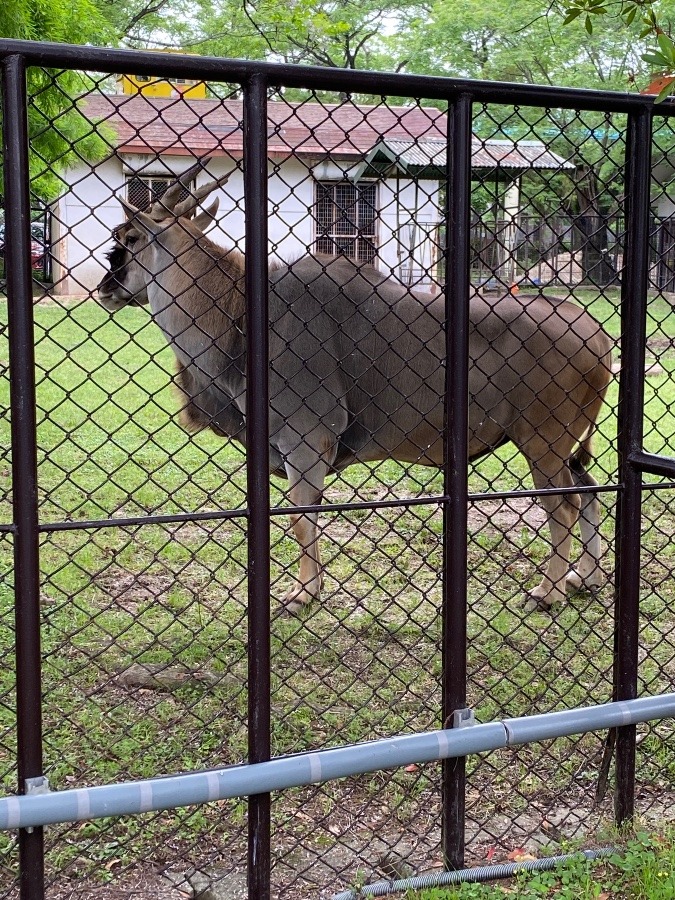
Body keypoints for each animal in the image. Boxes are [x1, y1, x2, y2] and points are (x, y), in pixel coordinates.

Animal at [99, 165, 612, 616]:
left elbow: (302, 518)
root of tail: (597, 333)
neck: (242, 312)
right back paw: (583, 579)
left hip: (542, 444)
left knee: (565, 507)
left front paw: (303, 594)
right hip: (563, 450)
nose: (105, 287)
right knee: (588, 491)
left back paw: (547, 592)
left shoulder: (306, 443)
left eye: (131, 239)